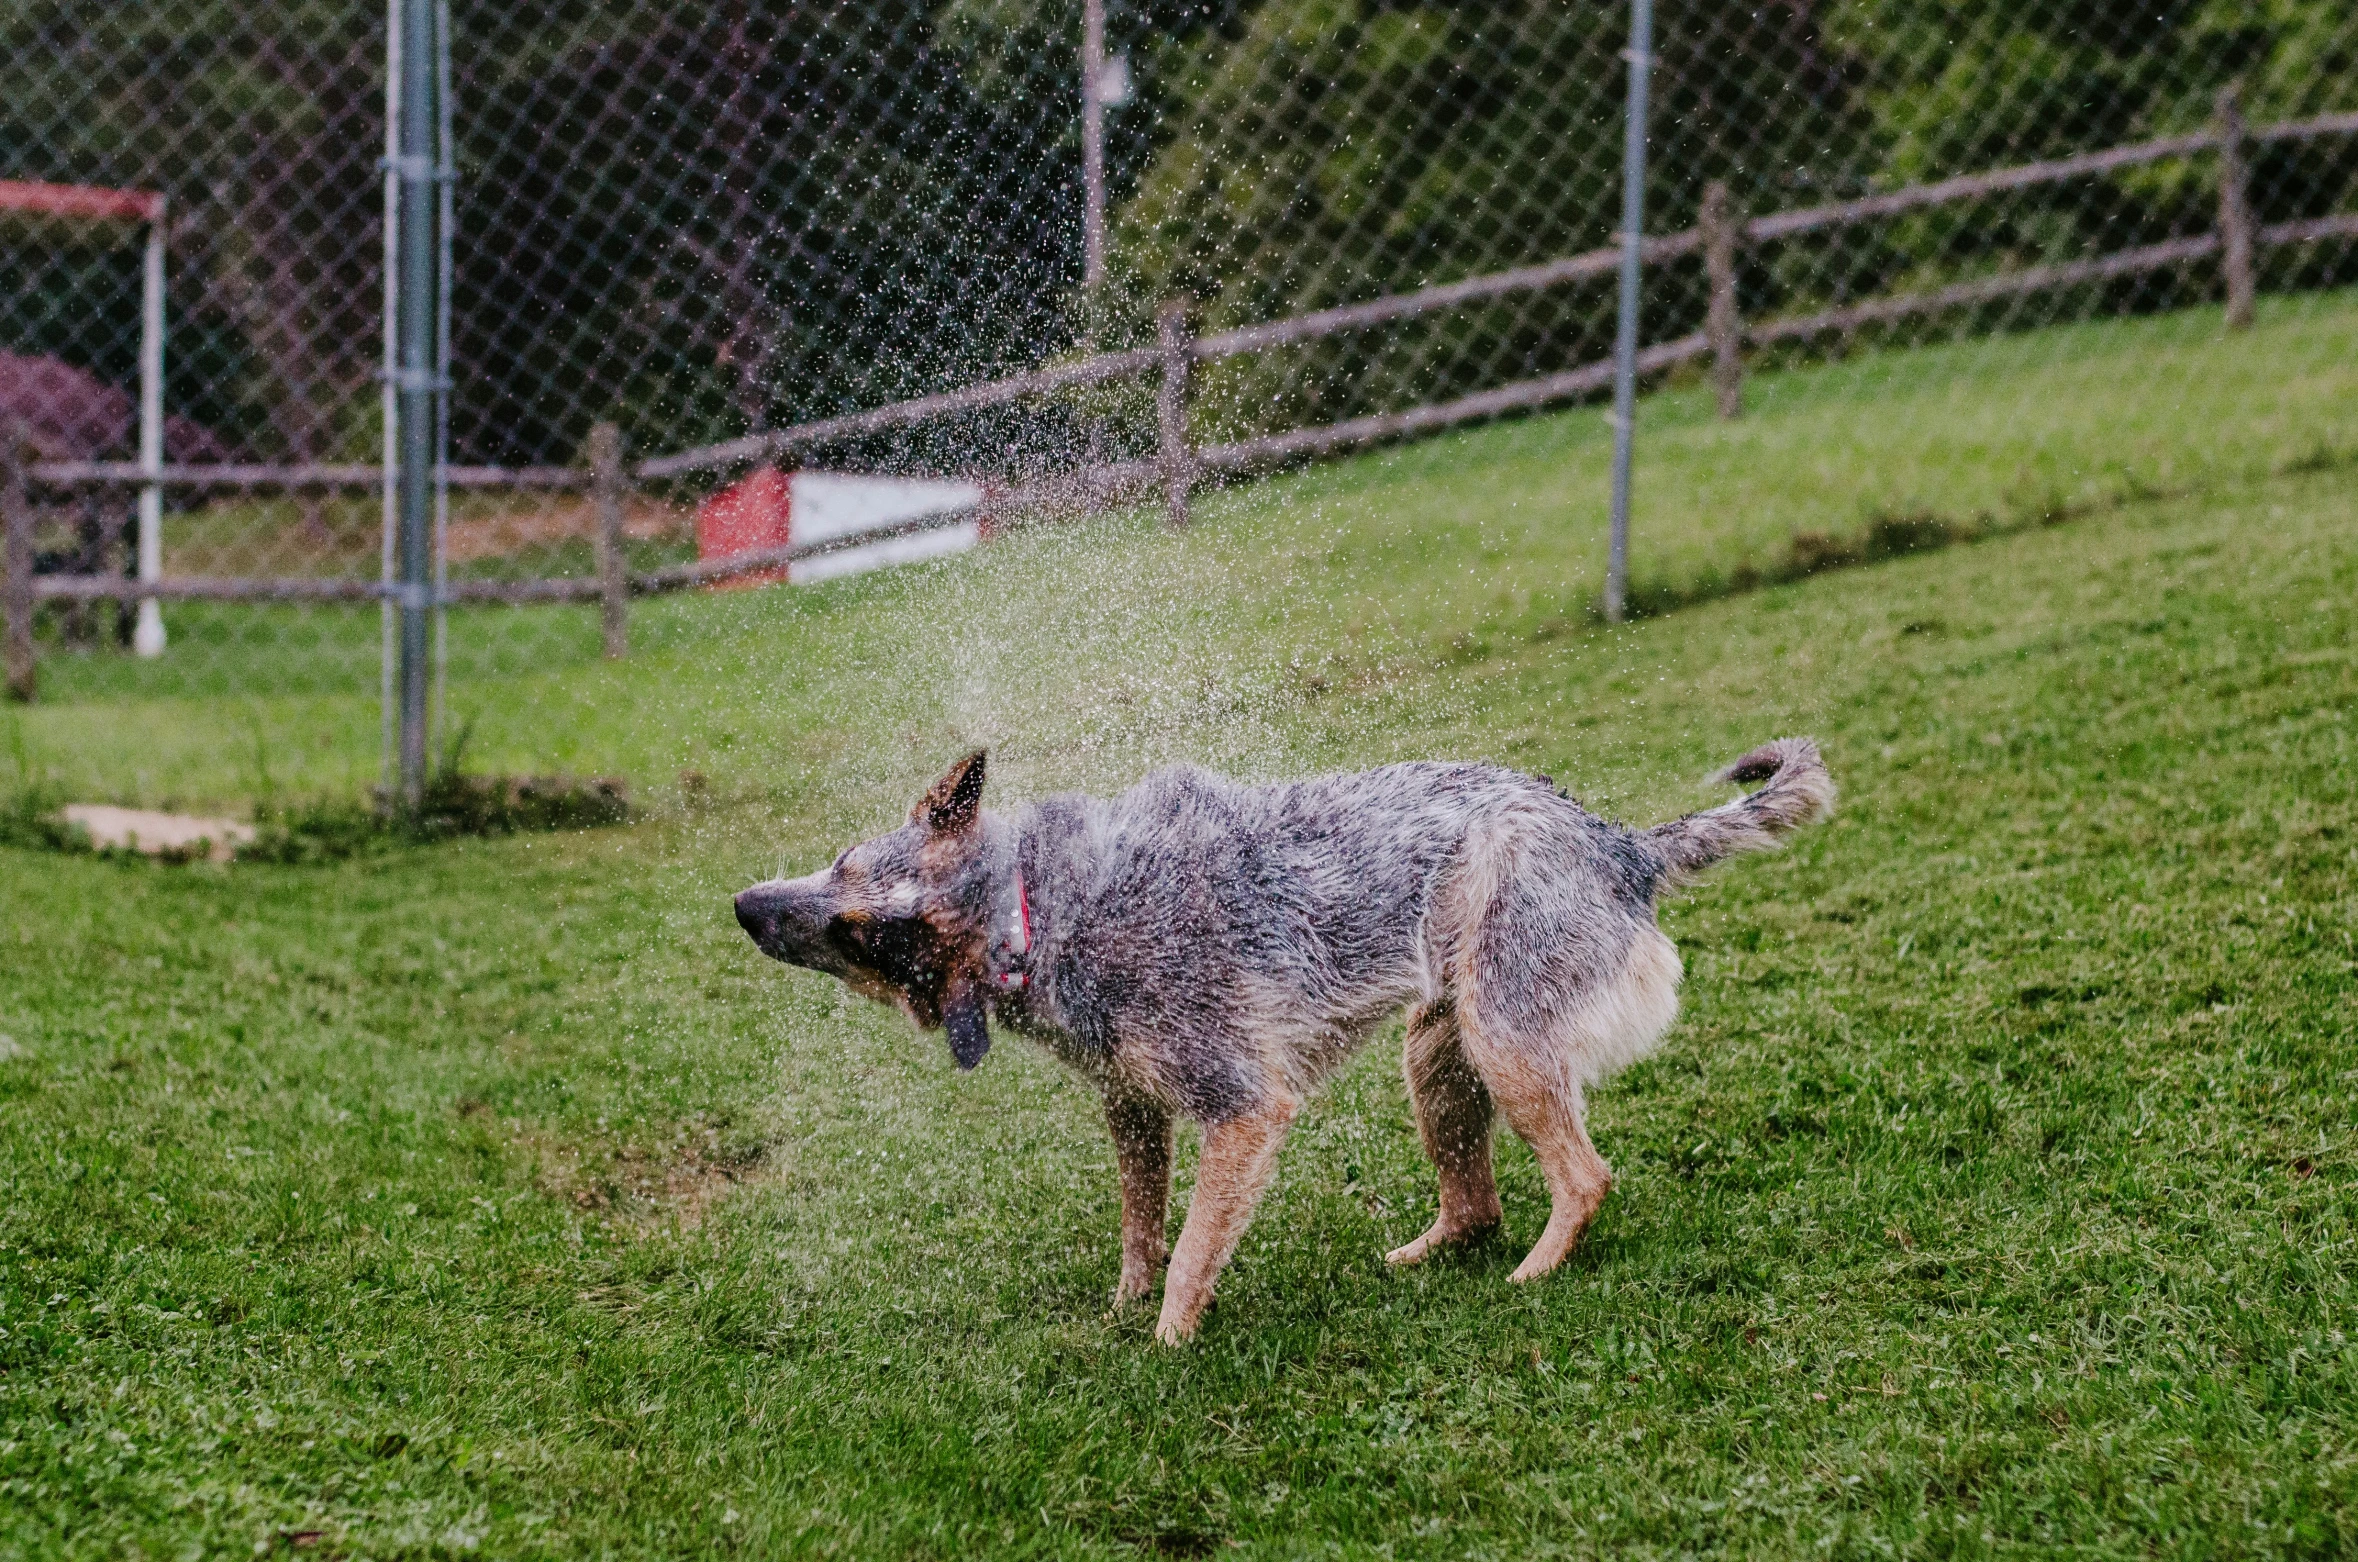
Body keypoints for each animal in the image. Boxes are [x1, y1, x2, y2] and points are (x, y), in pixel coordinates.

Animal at [726, 745, 1829, 1349]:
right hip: (1438, 1055)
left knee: (1585, 1176)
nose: (741, 906)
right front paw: (1124, 1307)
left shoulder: (1244, 1109)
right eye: (841, 872)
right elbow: (1141, 1231)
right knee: (1474, 1203)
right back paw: (1432, 1252)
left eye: (854, 933)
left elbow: (1189, 1255)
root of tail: (1620, 840)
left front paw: (1165, 1346)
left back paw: (1539, 1273)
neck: (1031, 910)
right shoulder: (1132, 1105)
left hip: (1506, 1039)